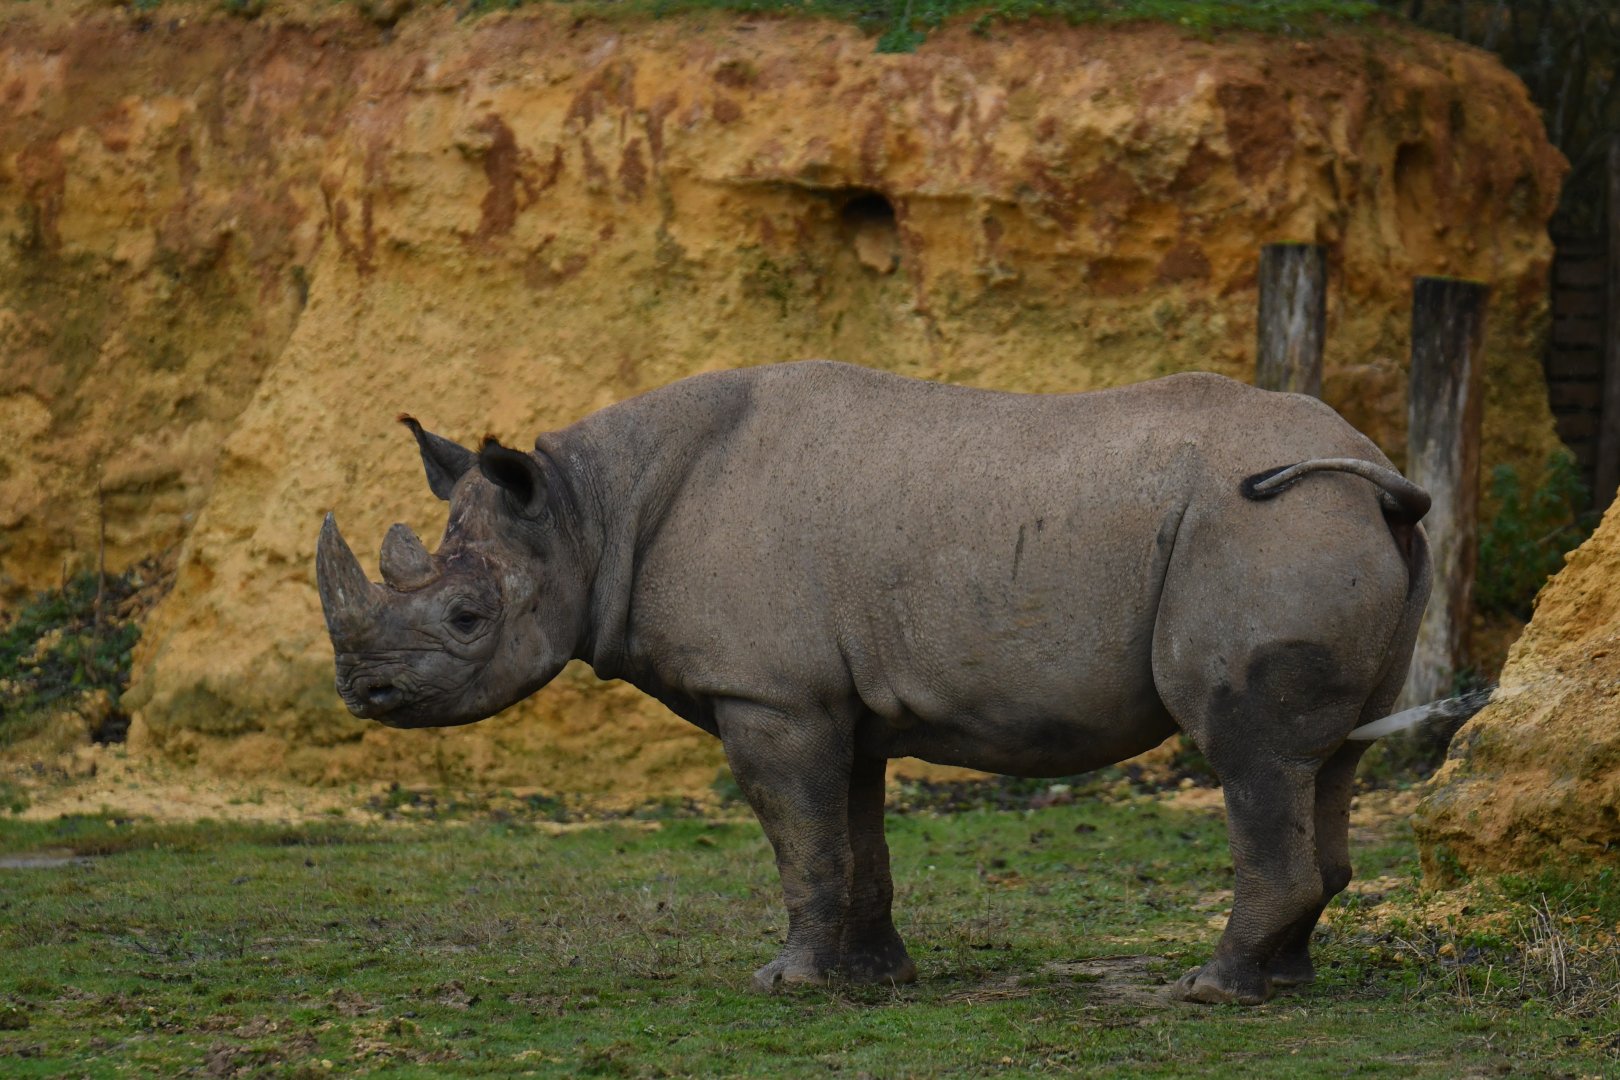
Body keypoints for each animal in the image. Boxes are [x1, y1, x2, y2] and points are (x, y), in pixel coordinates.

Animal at [317, 360, 1469, 1005]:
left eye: (467, 622)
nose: (365, 697)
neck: (583, 507)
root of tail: (1386, 482)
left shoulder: (769, 696)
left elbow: (802, 844)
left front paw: (788, 985)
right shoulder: (836, 704)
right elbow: (853, 841)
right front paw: (876, 978)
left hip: (1266, 526)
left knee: (1247, 751)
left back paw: (1209, 994)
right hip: (1320, 526)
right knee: (1324, 758)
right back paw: (1283, 982)